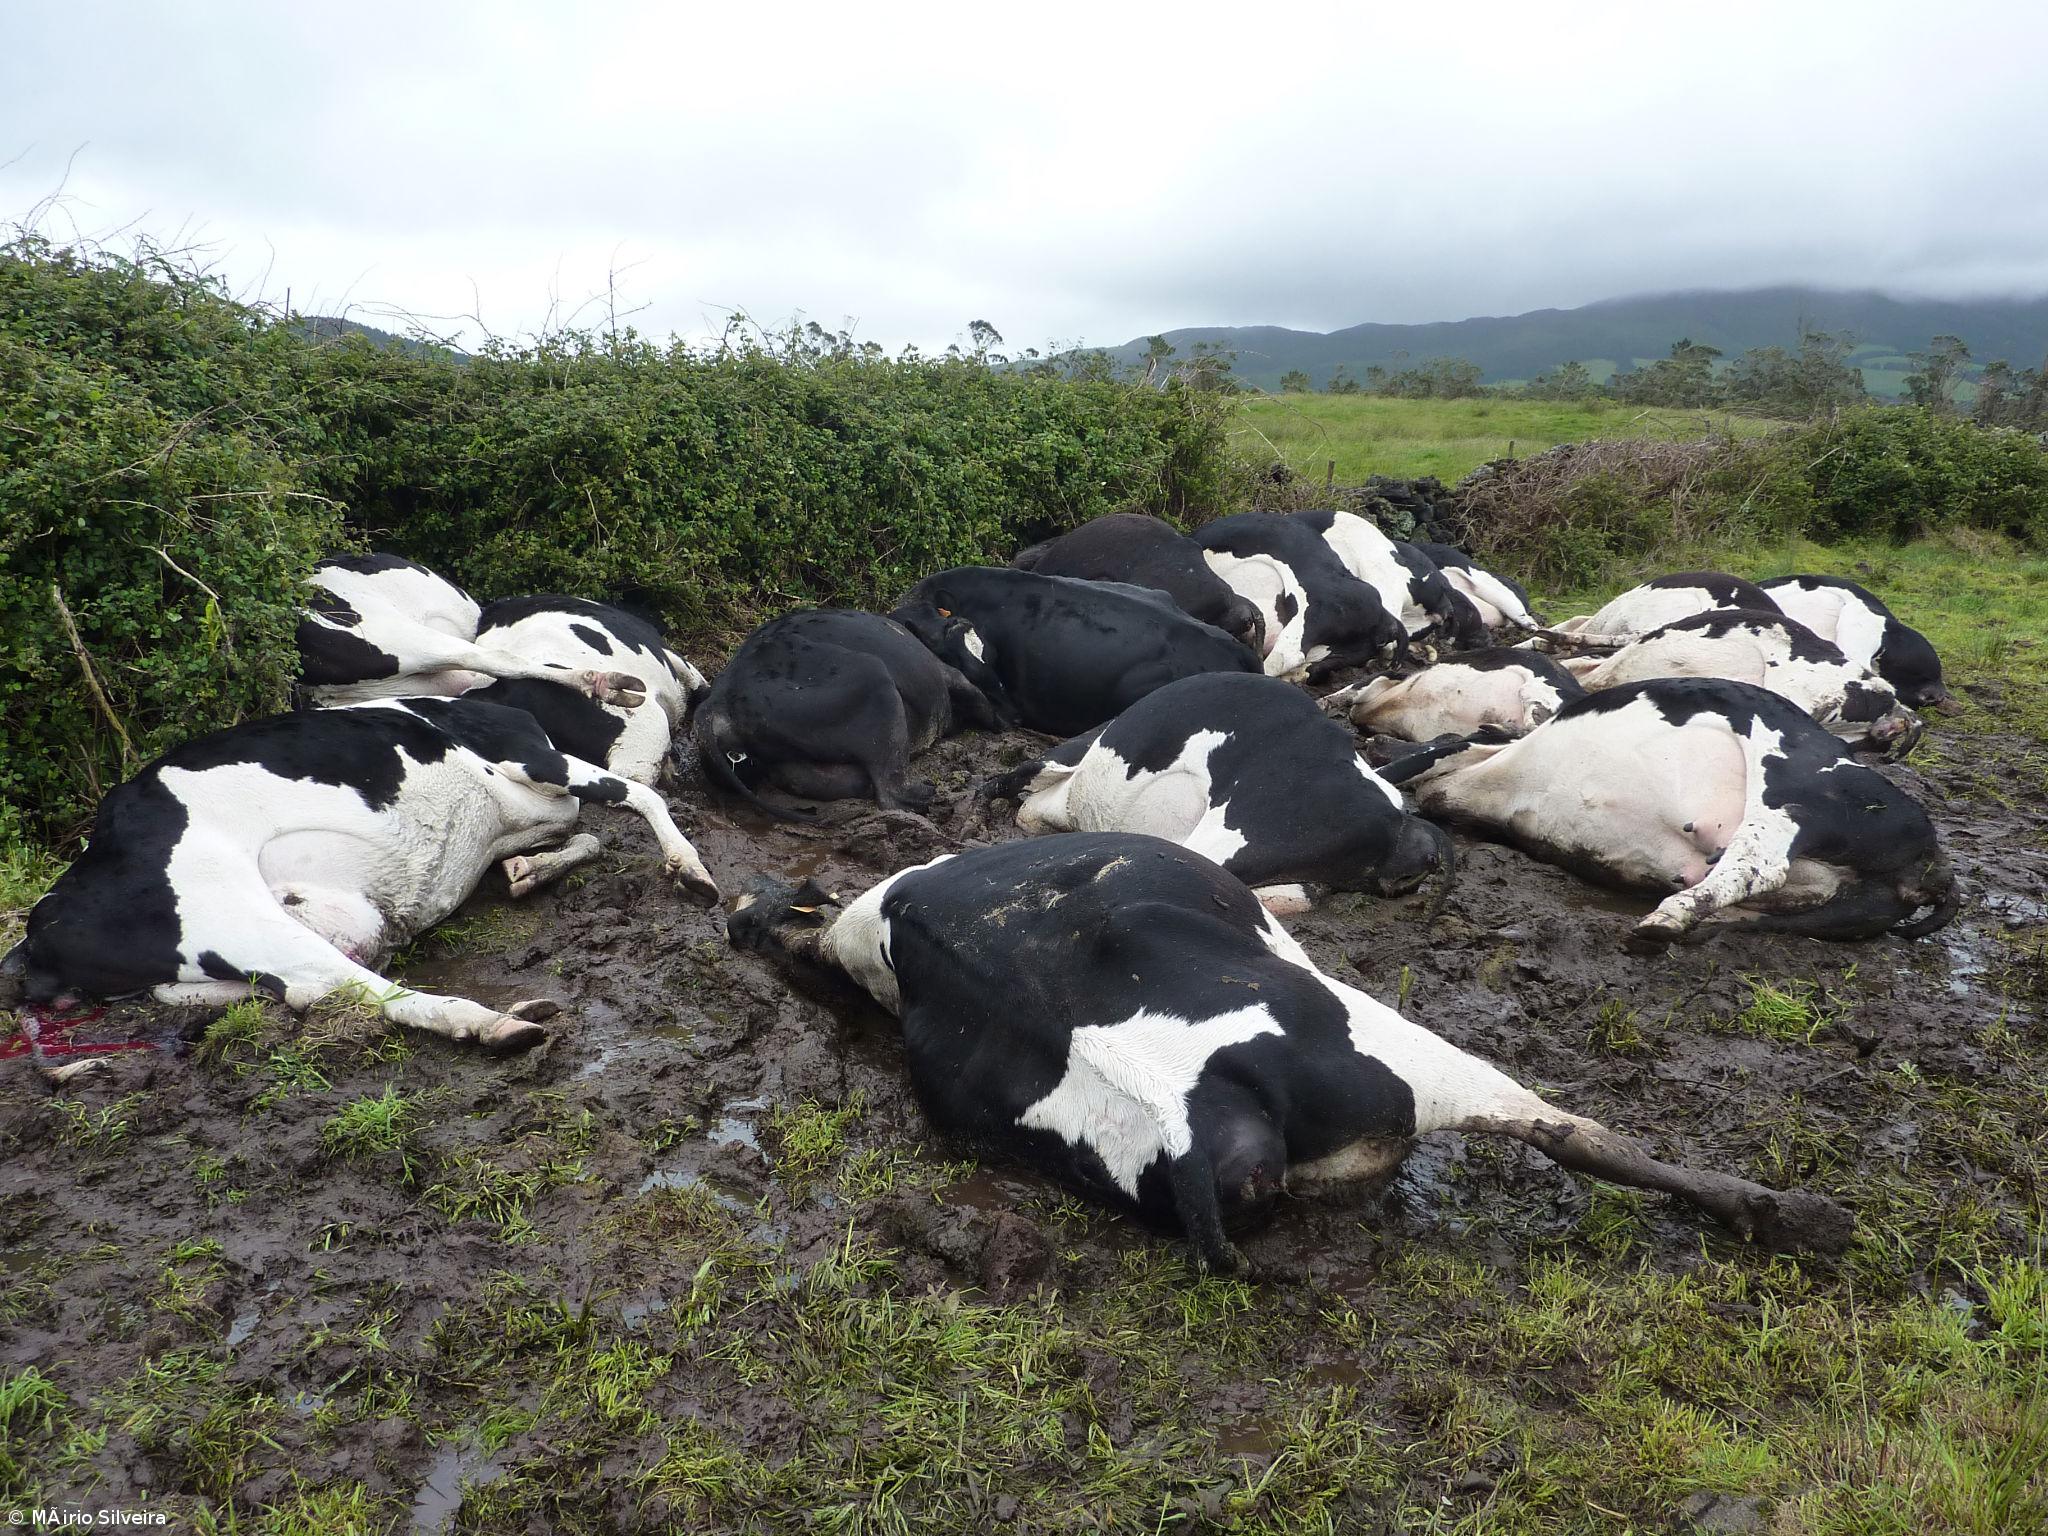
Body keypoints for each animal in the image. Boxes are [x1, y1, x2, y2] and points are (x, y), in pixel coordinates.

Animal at [0, 698, 721, 1052]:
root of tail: (39, 925)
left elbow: (588, 834)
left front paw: (531, 870)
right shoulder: (534, 761)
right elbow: (638, 796)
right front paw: (690, 868)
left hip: (221, 968)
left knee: (305, 991)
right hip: (237, 913)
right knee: (366, 988)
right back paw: (492, 1024)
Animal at [1380, 678, 1957, 946]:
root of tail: (1936, 866)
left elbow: (1420, 757)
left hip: (1791, 787)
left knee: (1759, 862)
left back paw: (1667, 917)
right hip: (1835, 905)